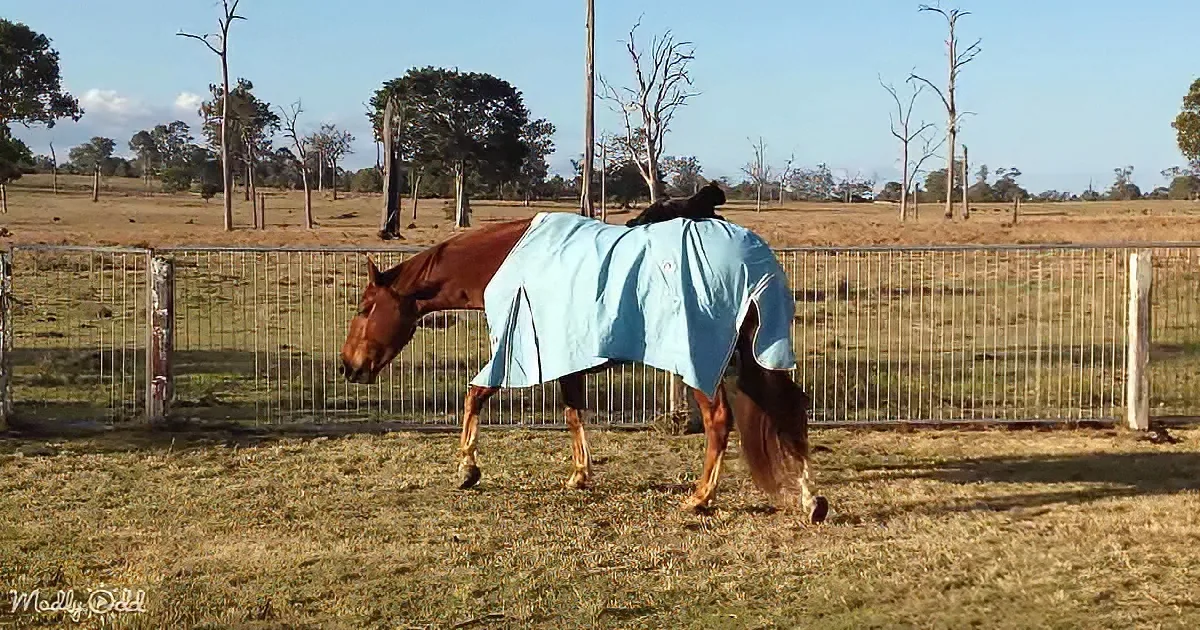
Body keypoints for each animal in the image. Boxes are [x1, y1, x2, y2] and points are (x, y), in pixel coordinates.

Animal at [339, 213, 828, 522]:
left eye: (365, 308)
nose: (349, 366)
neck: (509, 261)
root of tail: (758, 260)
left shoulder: (514, 350)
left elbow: (474, 394)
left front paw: (467, 469)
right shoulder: (567, 359)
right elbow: (574, 413)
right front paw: (579, 475)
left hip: (702, 361)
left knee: (720, 422)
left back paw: (700, 498)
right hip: (756, 356)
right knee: (790, 412)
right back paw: (812, 501)